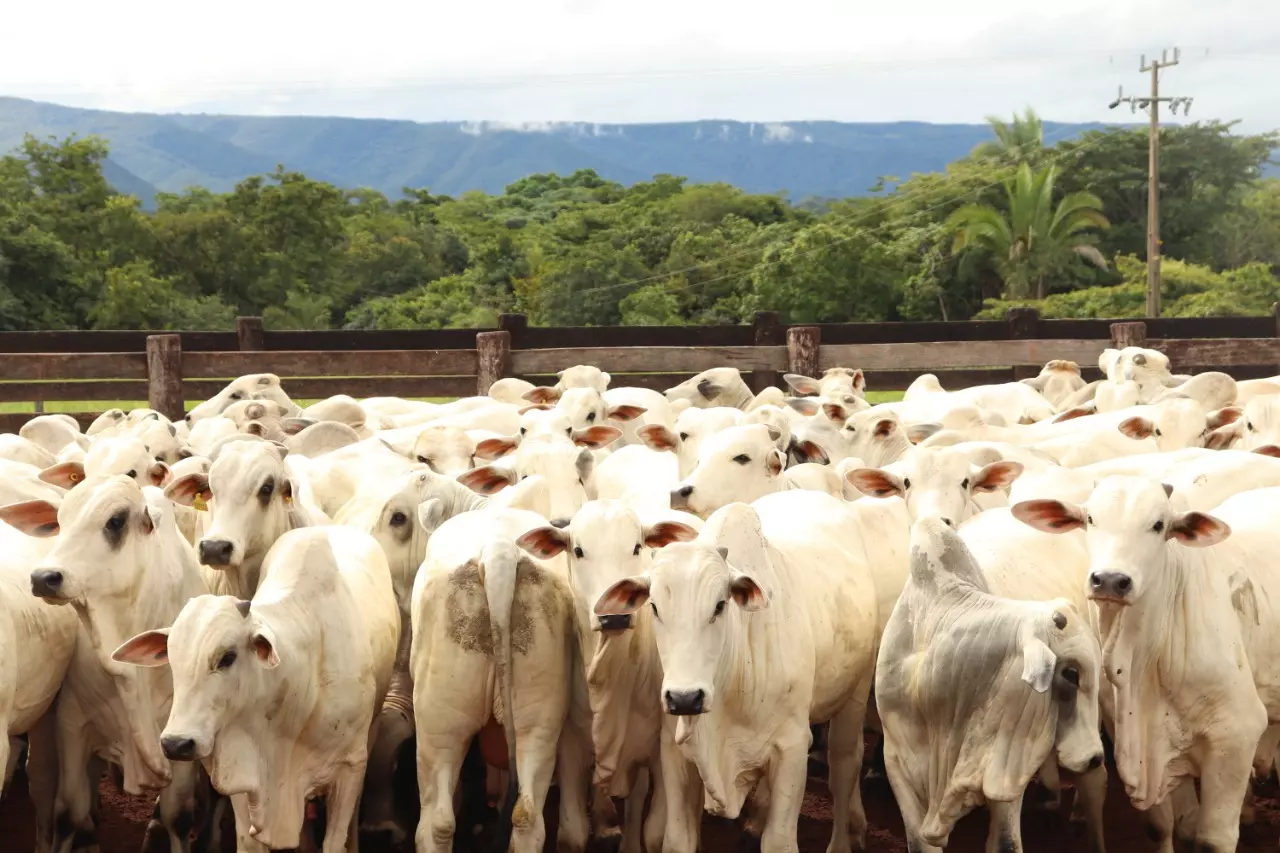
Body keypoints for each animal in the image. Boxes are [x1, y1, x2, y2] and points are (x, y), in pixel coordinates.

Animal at [113, 525, 399, 850]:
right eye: (172, 658)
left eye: (227, 657)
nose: (176, 743)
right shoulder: (243, 773)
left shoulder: (350, 768)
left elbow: (335, 840)